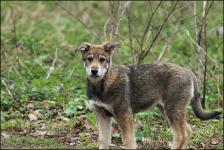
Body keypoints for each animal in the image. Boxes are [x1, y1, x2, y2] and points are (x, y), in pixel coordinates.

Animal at [77, 42, 220, 149]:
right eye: (89, 59)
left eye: (102, 60)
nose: (94, 71)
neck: (101, 85)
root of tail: (188, 72)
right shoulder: (102, 116)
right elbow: (103, 141)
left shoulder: (124, 115)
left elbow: (129, 142)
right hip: (167, 111)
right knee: (187, 131)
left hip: (172, 110)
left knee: (181, 135)